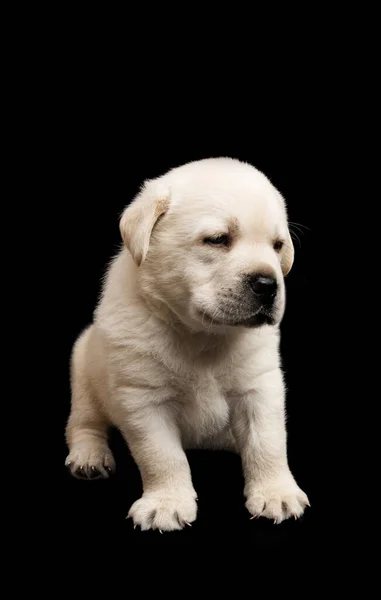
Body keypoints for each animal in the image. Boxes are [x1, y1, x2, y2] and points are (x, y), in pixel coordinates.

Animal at [65, 158, 308, 528]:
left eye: (277, 245)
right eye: (218, 239)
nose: (268, 285)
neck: (202, 335)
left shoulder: (260, 387)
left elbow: (267, 442)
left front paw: (275, 493)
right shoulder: (142, 399)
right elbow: (161, 456)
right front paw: (166, 503)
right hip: (83, 369)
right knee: (84, 422)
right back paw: (88, 455)